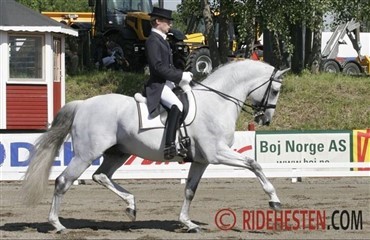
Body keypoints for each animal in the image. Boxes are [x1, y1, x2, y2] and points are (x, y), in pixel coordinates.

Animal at [22, 59, 290, 233]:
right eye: (276, 90)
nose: (265, 120)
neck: (217, 101)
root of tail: (83, 104)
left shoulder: (202, 160)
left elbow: (190, 190)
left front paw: (187, 223)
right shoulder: (217, 153)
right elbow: (254, 164)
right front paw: (274, 200)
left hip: (118, 153)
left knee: (101, 176)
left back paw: (131, 205)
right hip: (86, 154)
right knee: (63, 181)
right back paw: (57, 224)